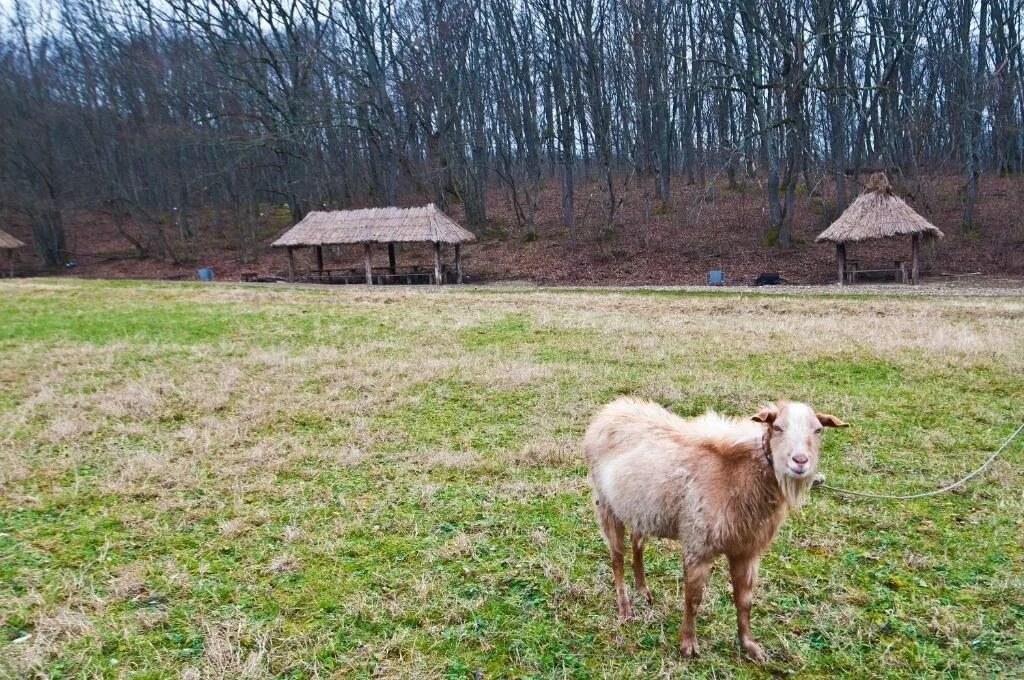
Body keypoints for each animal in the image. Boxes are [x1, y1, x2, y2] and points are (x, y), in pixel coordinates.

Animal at [585, 399, 847, 659]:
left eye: (818, 430)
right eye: (777, 427)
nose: (800, 461)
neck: (738, 474)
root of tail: (610, 410)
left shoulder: (747, 550)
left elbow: (744, 601)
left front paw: (749, 645)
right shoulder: (698, 544)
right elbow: (693, 599)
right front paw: (688, 645)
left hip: (640, 510)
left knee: (636, 543)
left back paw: (643, 591)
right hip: (605, 504)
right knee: (617, 558)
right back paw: (625, 609)